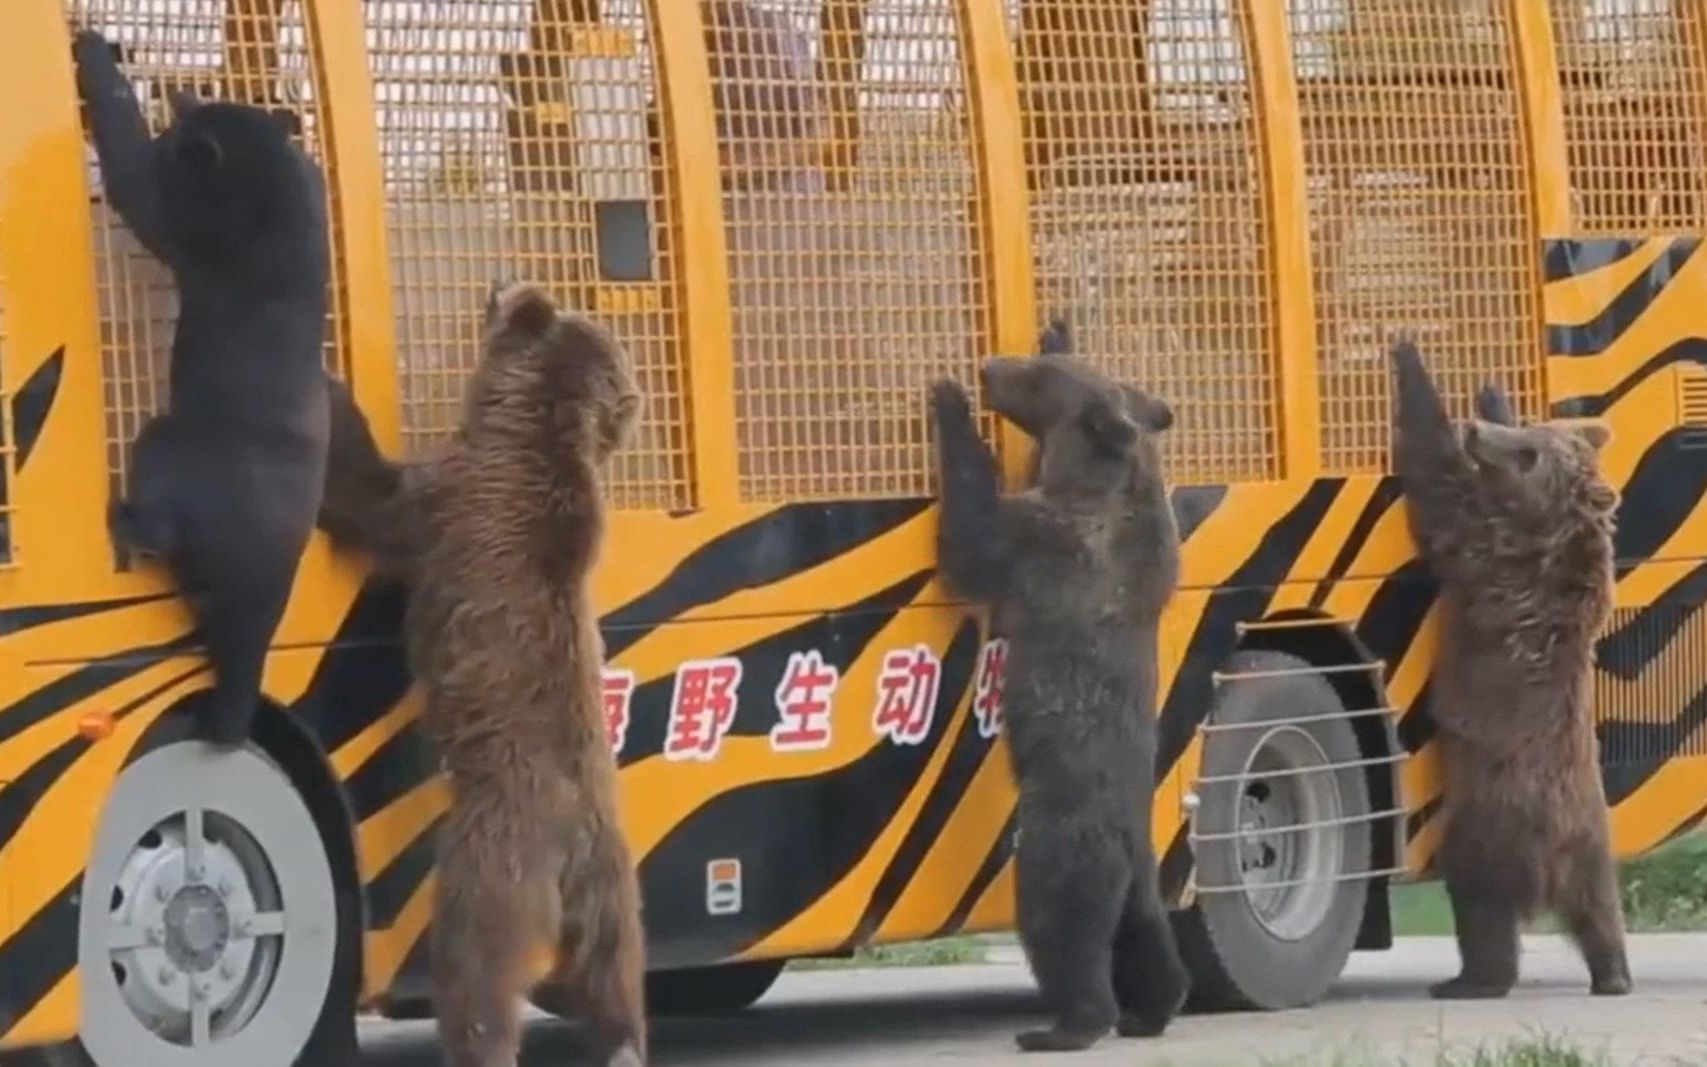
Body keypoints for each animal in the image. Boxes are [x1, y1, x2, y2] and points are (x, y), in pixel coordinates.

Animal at [317, 283, 641, 1065]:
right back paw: (621, 1036)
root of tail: (567, 844)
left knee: (474, 964)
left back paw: (479, 1042)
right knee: (612, 964)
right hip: (611, 880)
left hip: (494, 858)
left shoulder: (450, 506)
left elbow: (370, 498)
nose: (497, 284)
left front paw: (330, 385)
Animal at [1386, 339, 1625, 997]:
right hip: (1593, 839)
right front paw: (1493, 388)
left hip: (1492, 825)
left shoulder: (1490, 555)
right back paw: (1614, 974)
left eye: (1526, 452)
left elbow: (1437, 486)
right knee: (1601, 909)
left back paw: (1467, 979)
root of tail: (1554, 861)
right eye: (1531, 432)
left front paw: (1407, 353)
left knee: (1480, 904)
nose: (1476, 428)